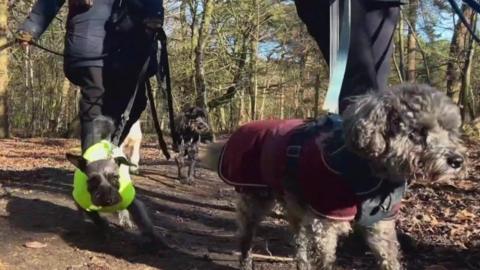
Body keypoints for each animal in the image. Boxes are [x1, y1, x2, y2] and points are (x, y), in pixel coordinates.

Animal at [65, 116, 163, 251]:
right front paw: (104, 227)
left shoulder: (133, 203)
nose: (107, 200)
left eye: (115, 177)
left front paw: (154, 239)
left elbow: (144, 222)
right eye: (92, 180)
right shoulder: (83, 203)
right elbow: (95, 217)